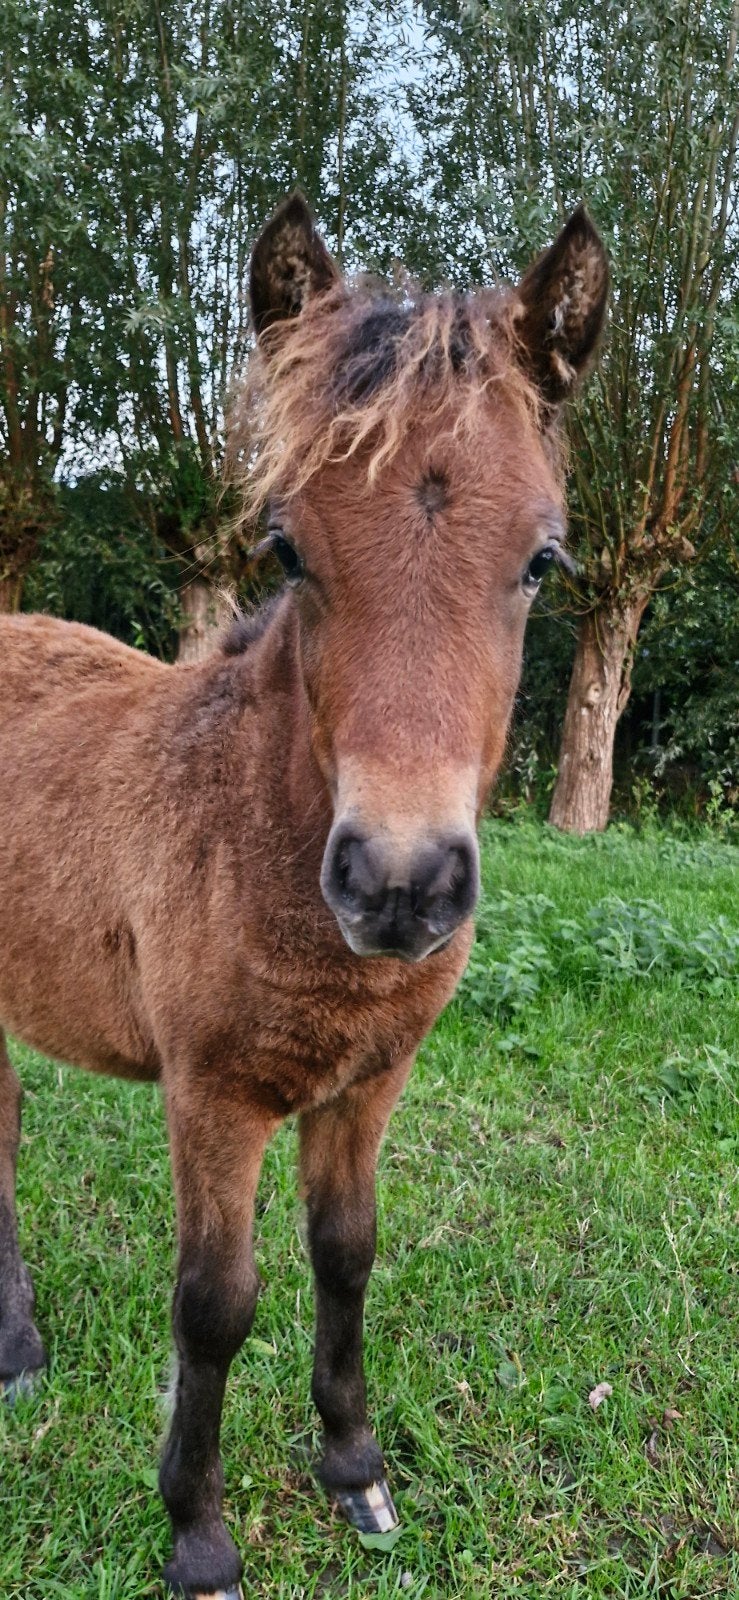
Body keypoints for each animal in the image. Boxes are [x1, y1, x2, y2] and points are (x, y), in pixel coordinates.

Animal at [0, 193, 607, 1598]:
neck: (247, 825)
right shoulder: (213, 1095)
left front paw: (355, 1471)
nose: (397, 882)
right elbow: (214, 1305)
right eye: (287, 543)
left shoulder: (367, 1082)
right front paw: (197, 1532)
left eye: (541, 559)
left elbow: (346, 1255)